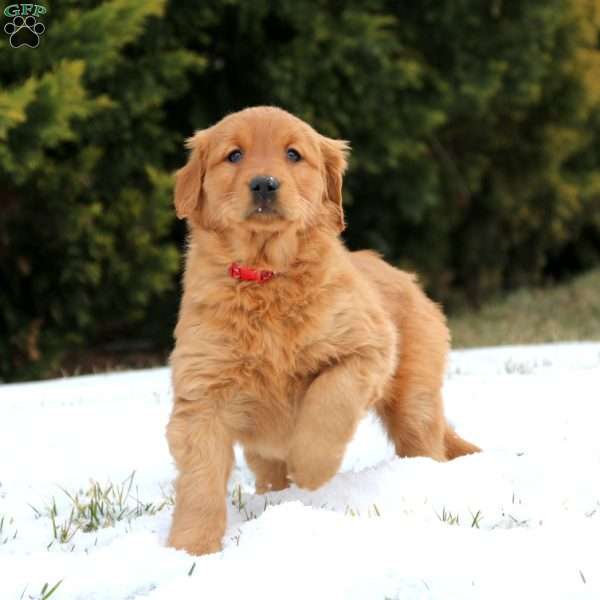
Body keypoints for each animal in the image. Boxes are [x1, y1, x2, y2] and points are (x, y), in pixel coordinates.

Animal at [165, 105, 478, 556]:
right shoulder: (203, 390)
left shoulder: (368, 346)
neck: (267, 276)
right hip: (263, 453)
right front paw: (190, 549)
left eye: (293, 154)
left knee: (424, 441)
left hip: (414, 394)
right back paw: (275, 501)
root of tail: (408, 279)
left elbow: (330, 398)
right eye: (234, 155)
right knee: (269, 471)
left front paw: (312, 469)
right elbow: (199, 478)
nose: (264, 183)